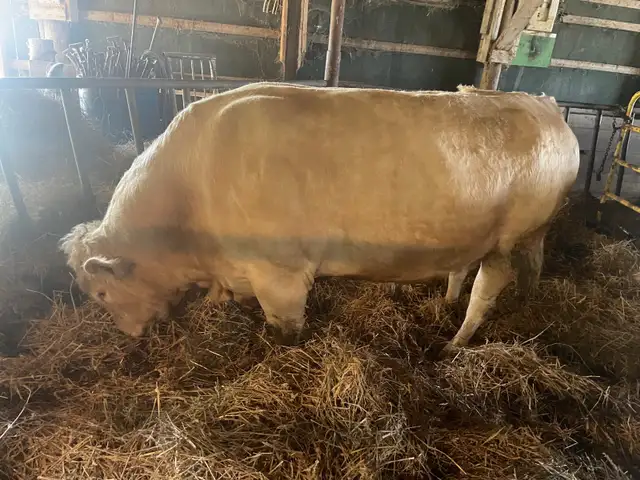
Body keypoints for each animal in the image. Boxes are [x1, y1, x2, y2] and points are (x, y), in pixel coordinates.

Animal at [59, 82, 580, 352]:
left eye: (101, 293)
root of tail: (543, 104)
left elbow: (285, 331)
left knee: (487, 290)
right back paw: (510, 306)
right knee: (512, 270)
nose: (130, 336)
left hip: (509, 239)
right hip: (518, 235)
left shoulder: (280, 273)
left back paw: (456, 342)